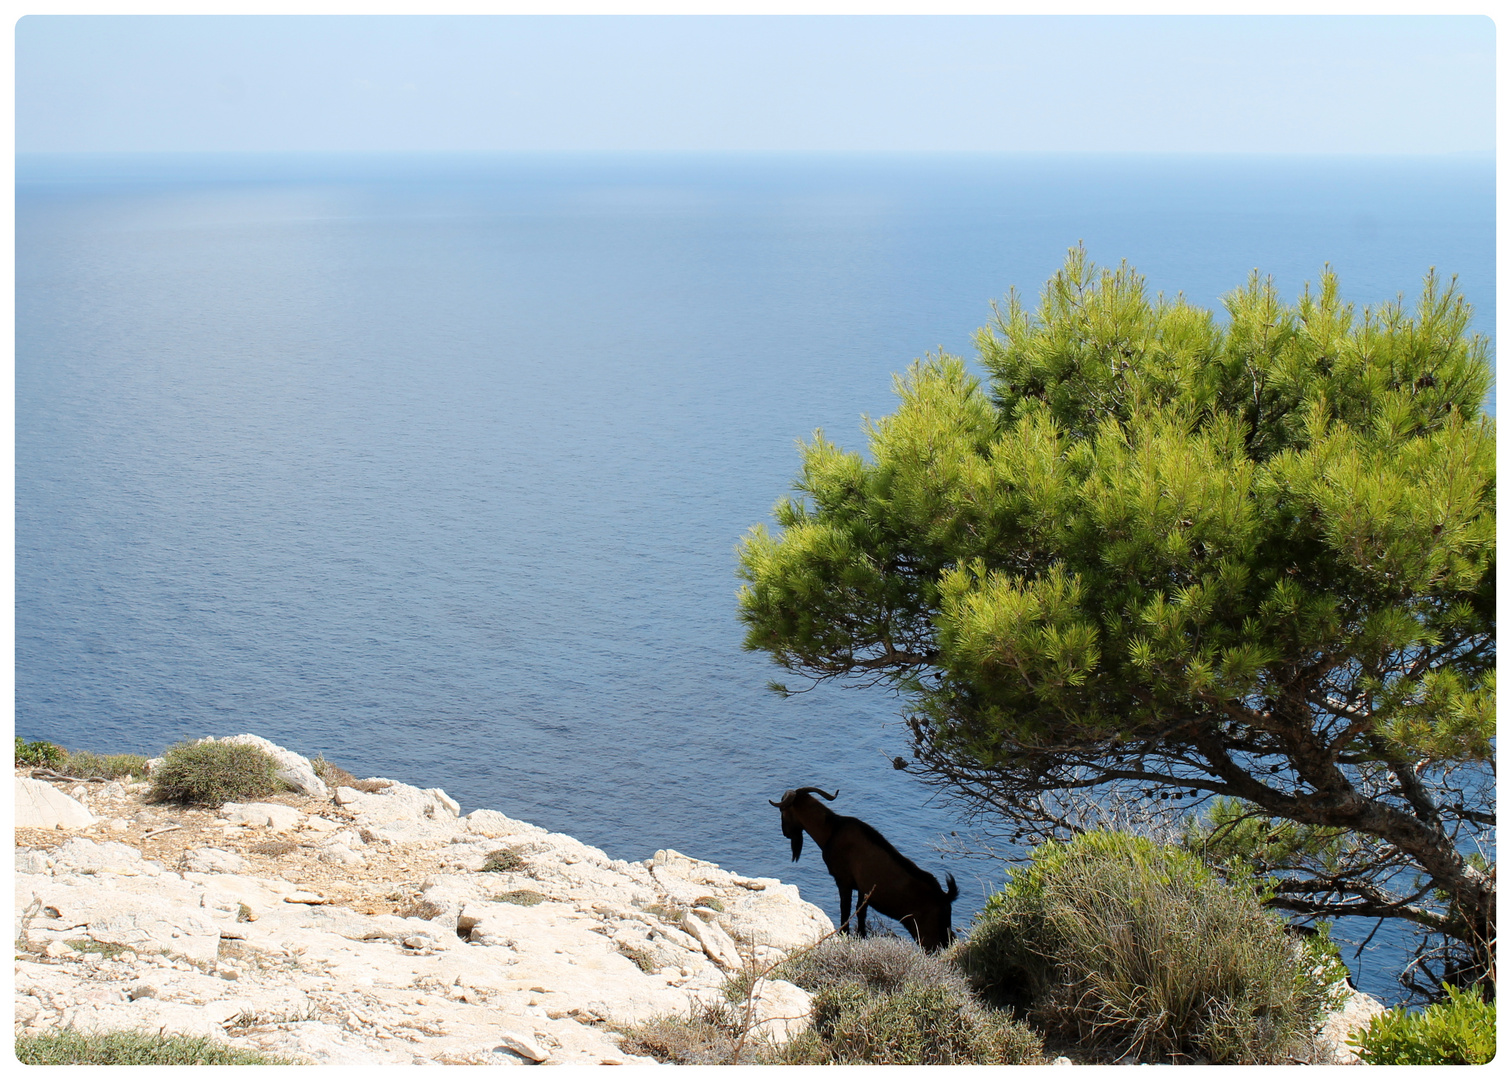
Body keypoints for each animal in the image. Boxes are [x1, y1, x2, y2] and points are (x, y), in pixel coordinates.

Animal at [767, 785, 954, 954]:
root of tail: (945, 898)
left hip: (927, 935)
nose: (785, 833)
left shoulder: (843, 881)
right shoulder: (863, 890)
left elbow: (845, 910)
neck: (831, 830)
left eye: (782, 810)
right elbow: (860, 914)